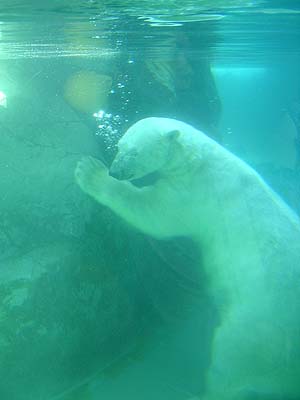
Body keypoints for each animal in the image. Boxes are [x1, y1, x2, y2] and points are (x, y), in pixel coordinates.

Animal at [74, 117, 300, 398]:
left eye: (134, 151)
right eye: (118, 146)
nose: (115, 171)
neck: (198, 160)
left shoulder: (195, 195)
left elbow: (154, 213)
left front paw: (89, 170)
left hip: (260, 325)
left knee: (230, 360)